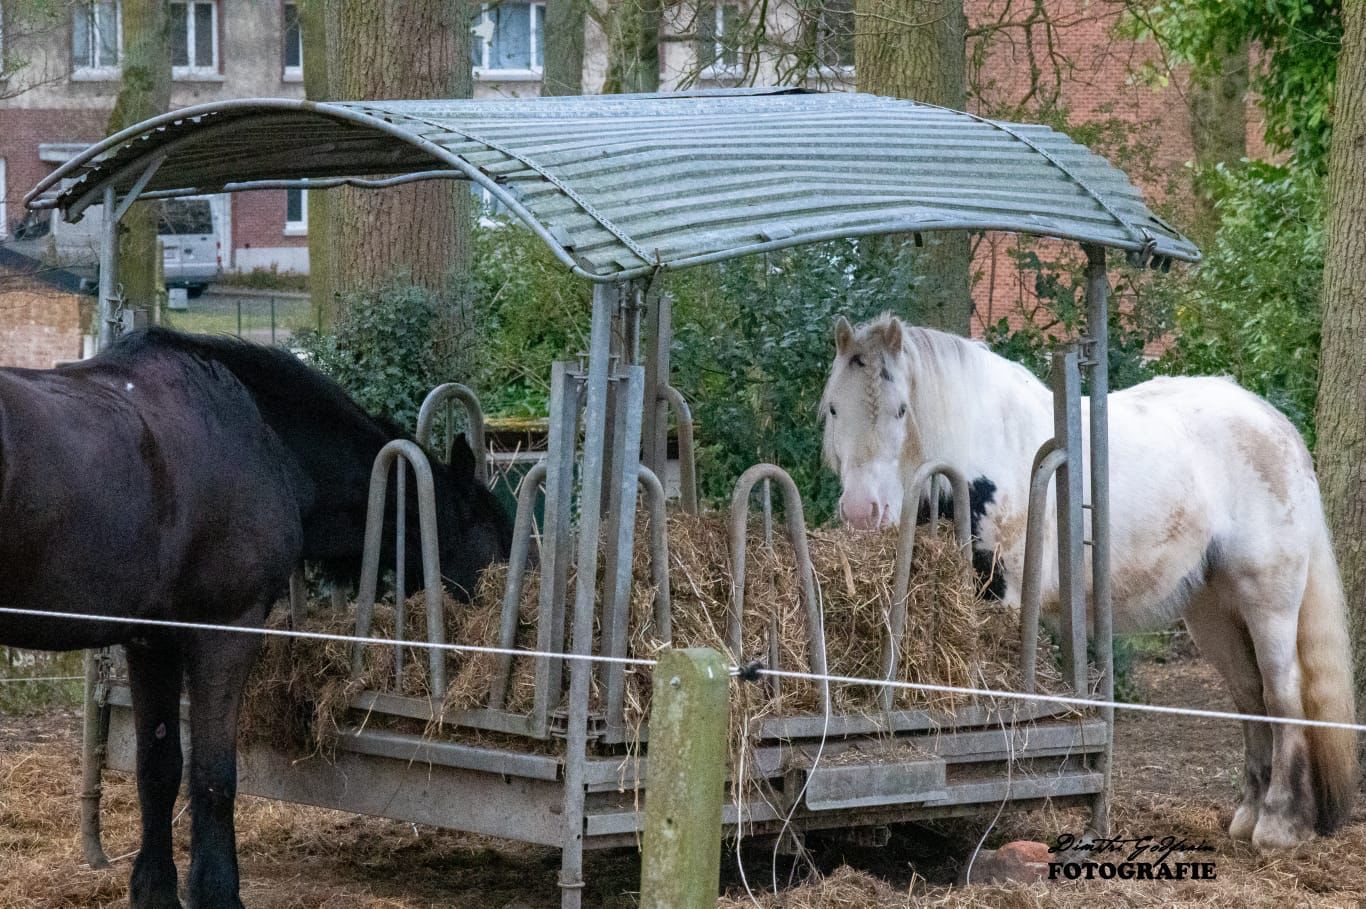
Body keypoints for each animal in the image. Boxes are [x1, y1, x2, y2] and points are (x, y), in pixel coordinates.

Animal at [0, 327, 513, 909]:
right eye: (497, 542)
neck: (258, 436)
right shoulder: (227, 630)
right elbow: (213, 776)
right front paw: (218, 892)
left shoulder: (152, 639)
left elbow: (159, 768)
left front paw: (157, 891)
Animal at [820, 312, 1356, 850]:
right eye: (833, 408)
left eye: (901, 409)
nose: (861, 513)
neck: (983, 446)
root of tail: (1276, 426)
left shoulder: (1001, 596)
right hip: (1213, 612)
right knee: (1248, 696)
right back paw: (1247, 816)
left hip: (1268, 600)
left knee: (1281, 692)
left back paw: (1279, 825)